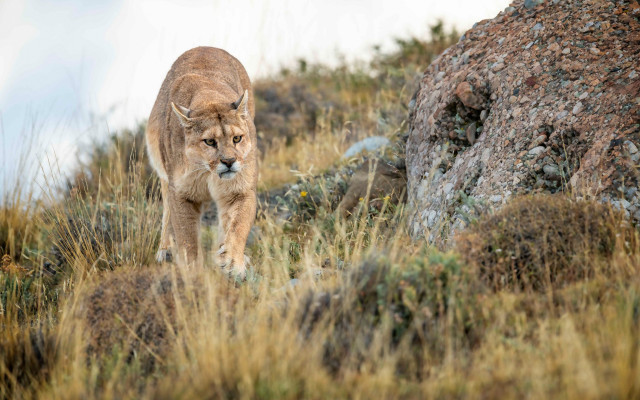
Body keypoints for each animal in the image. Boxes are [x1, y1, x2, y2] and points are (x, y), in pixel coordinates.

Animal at [145, 46, 257, 279]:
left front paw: (232, 261)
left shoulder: (241, 189)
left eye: (237, 138)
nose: (229, 161)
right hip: (164, 175)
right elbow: (186, 236)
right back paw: (165, 251)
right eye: (210, 141)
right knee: (166, 212)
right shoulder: (180, 192)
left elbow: (238, 225)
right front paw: (192, 273)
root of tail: (204, 47)